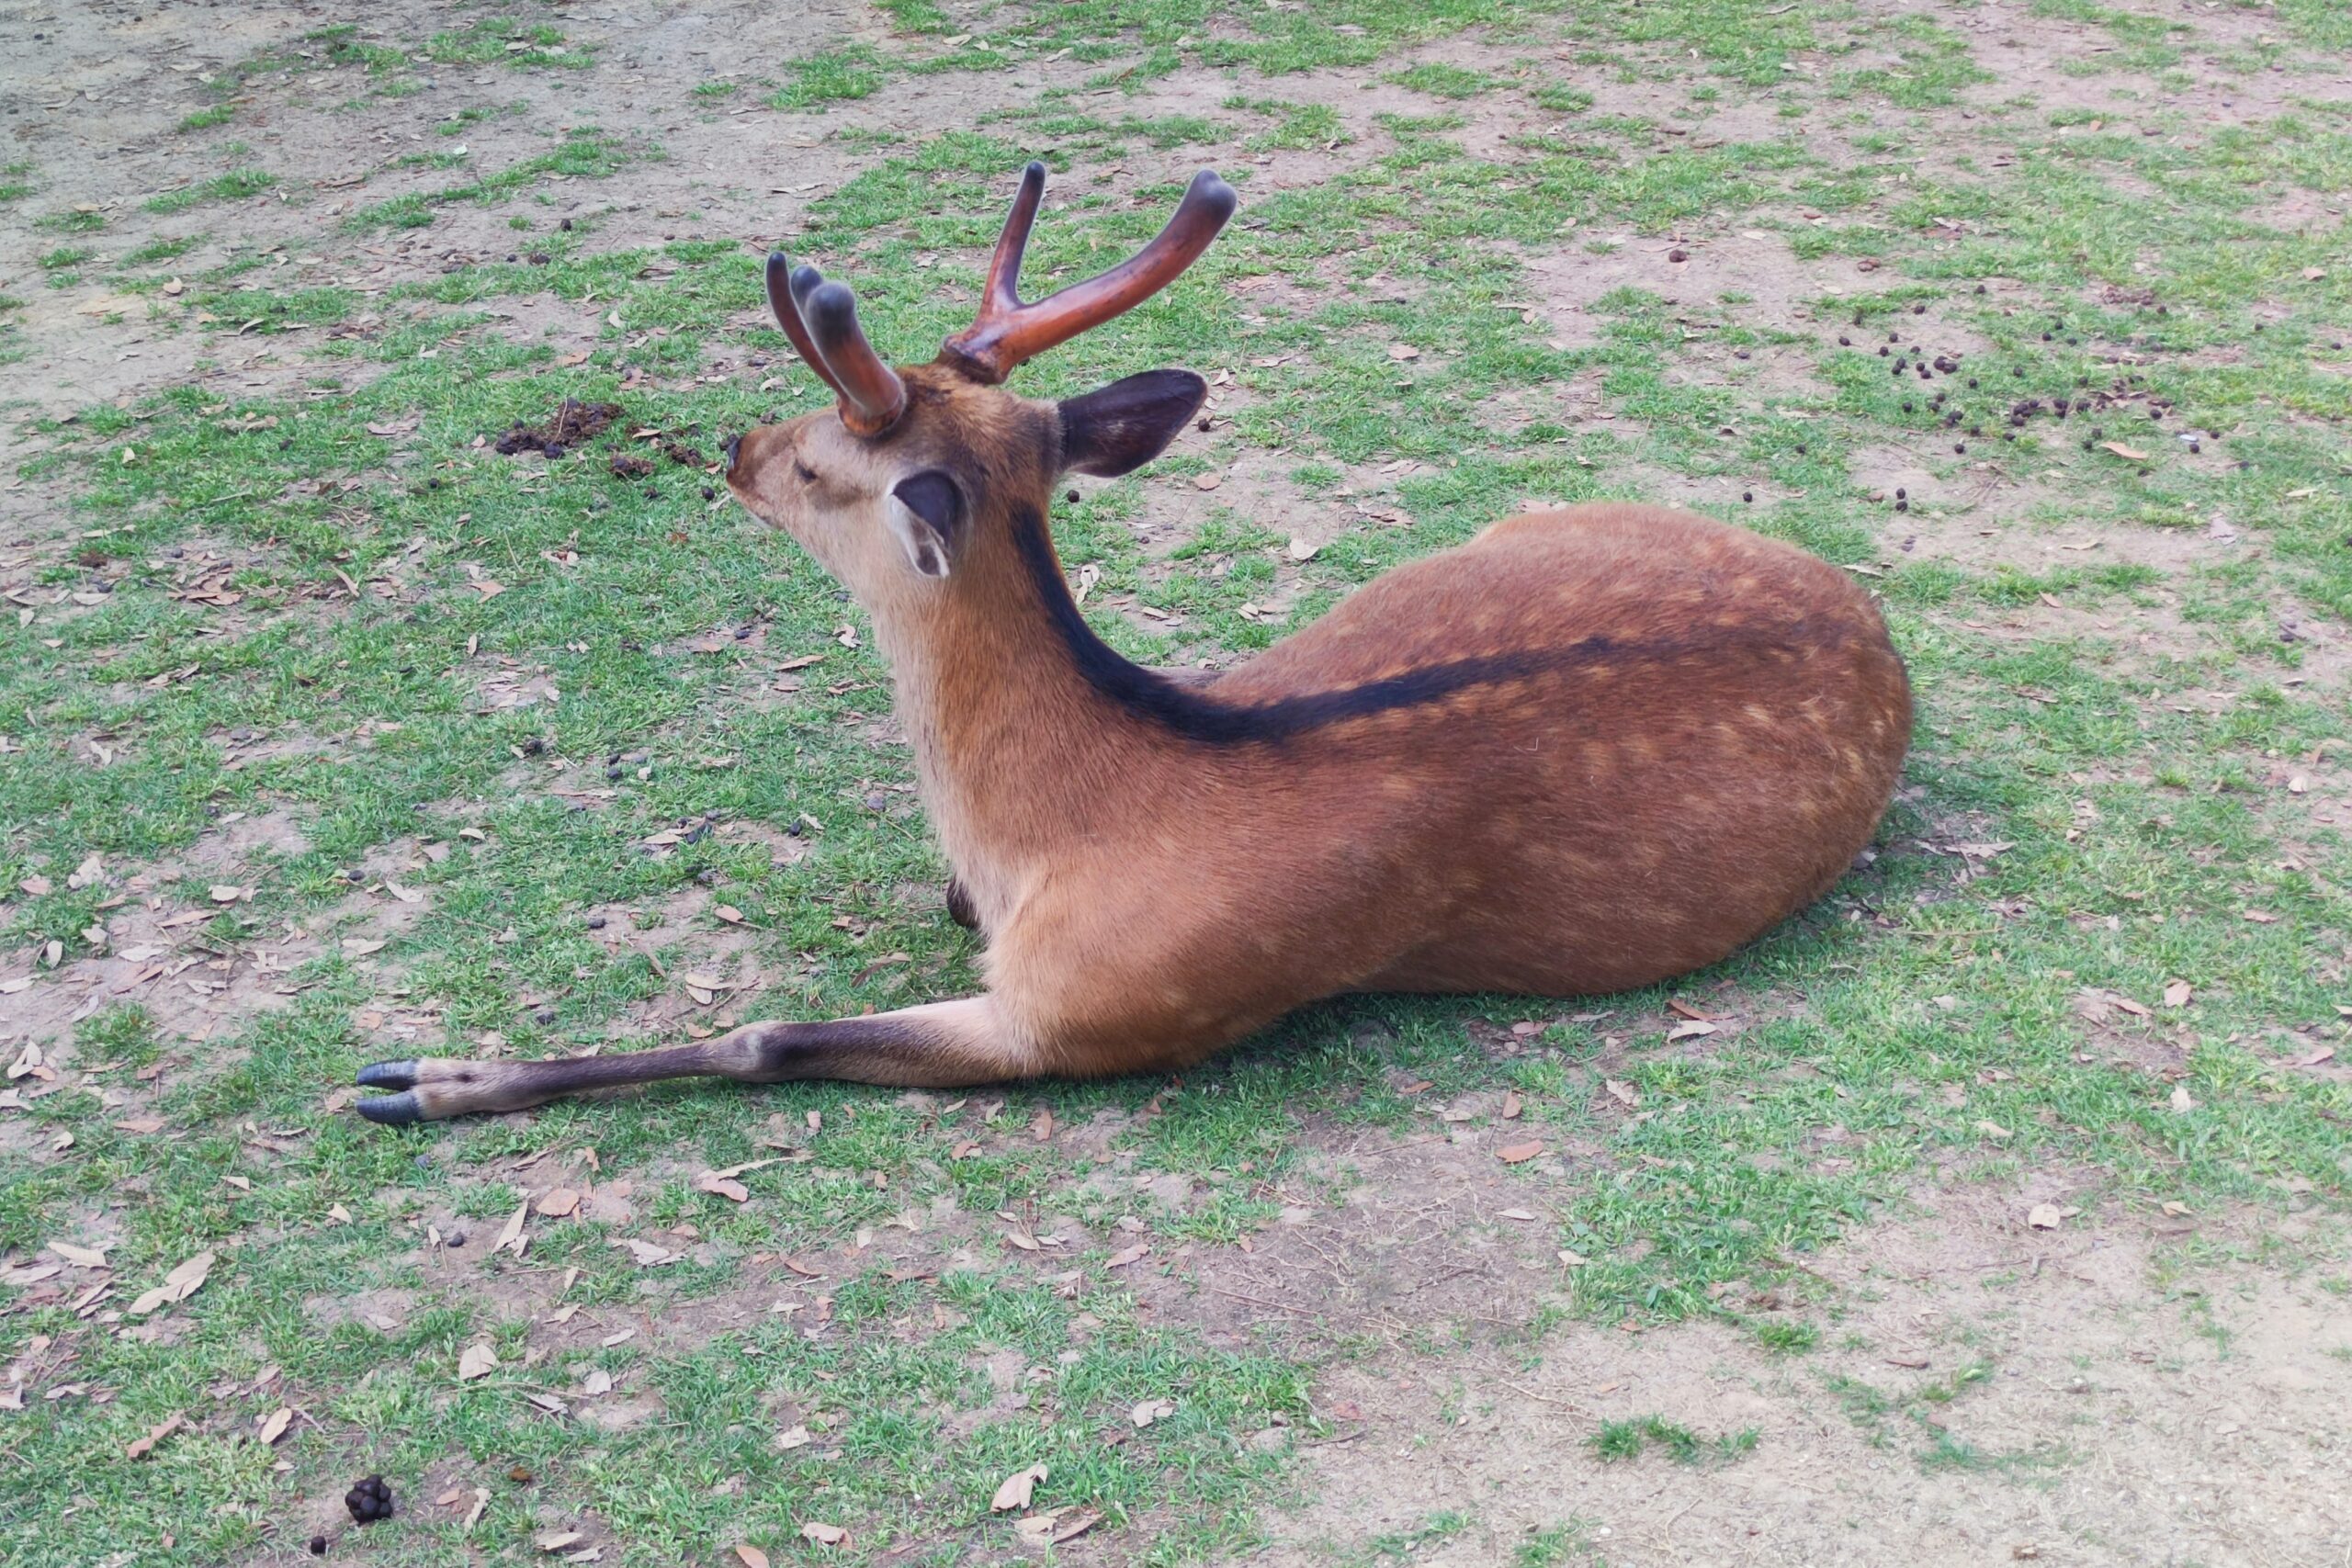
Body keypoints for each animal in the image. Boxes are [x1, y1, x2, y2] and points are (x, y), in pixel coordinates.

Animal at [352, 163, 1911, 1125]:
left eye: (816, 469)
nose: (736, 446)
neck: (1048, 831)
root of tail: (1869, 613)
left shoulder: (1093, 1009)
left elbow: (767, 1035)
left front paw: (425, 1078)